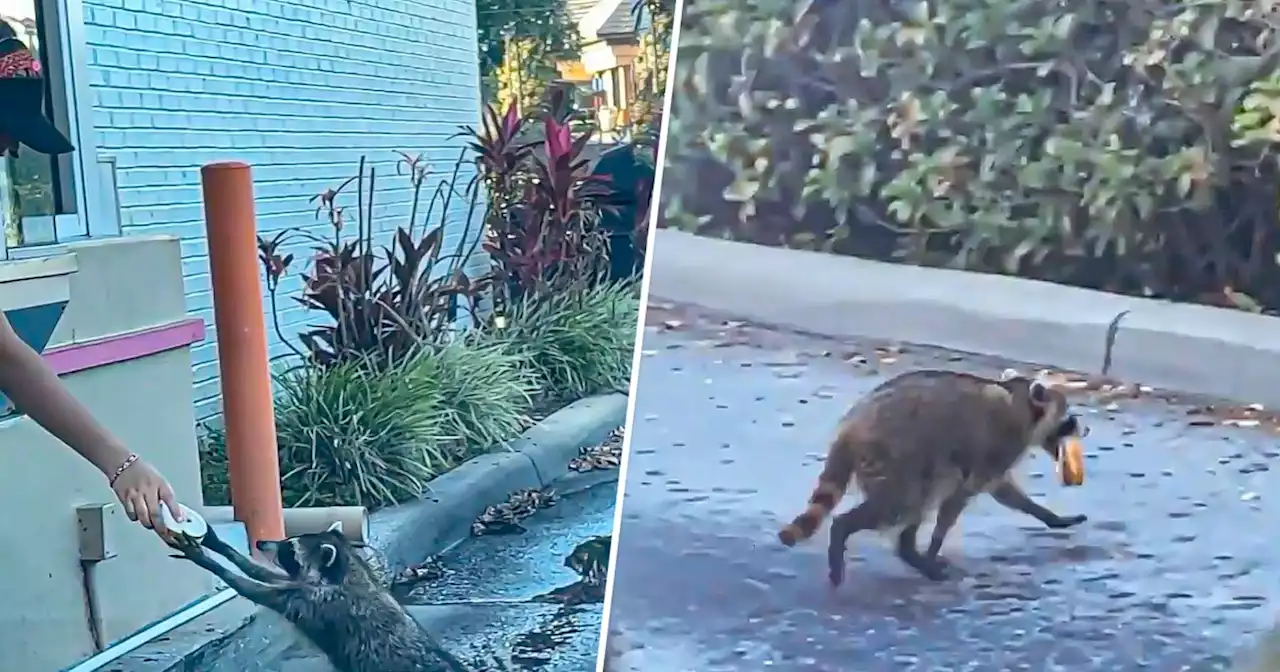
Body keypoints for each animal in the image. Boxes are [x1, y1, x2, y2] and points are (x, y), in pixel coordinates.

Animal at [167, 519, 473, 670]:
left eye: (289, 547)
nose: (261, 542)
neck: (345, 571)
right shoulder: (304, 587)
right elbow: (266, 575)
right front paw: (218, 544)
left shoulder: (316, 603)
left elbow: (257, 589)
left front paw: (210, 562)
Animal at [778, 368, 1090, 583]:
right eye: (1069, 418)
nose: (1086, 429)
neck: (1020, 400)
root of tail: (852, 428)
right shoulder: (998, 445)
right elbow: (959, 500)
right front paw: (934, 546)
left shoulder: (996, 459)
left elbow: (1005, 492)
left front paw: (1049, 516)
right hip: (895, 456)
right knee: (904, 504)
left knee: (916, 504)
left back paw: (911, 553)